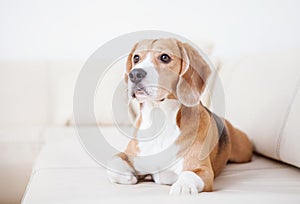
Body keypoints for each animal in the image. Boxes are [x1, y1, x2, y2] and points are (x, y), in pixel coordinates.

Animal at [106, 38, 252, 196]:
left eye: (165, 57)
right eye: (136, 58)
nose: (134, 74)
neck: (159, 120)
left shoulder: (203, 170)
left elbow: (188, 175)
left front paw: (183, 186)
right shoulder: (129, 155)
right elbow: (113, 163)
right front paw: (129, 176)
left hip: (244, 152)